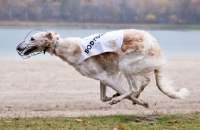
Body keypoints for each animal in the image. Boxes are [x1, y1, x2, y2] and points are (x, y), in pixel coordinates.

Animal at [16, 29, 189, 107]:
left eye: (32, 38)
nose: (18, 47)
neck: (71, 48)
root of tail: (153, 43)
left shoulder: (106, 76)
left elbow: (123, 92)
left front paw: (134, 101)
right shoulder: (102, 76)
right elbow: (102, 97)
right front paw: (120, 97)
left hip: (125, 64)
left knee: (134, 87)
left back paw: (123, 98)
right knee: (144, 81)